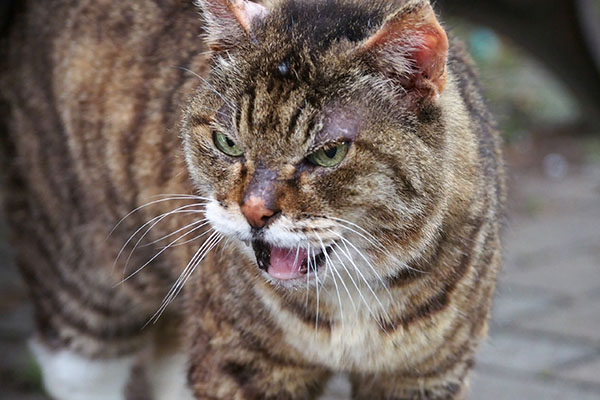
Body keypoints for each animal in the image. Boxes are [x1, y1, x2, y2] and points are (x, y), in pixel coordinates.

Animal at [0, 0, 506, 398]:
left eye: (329, 153)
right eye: (227, 143)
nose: (253, 211)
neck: (353, 300)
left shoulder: (426, 375)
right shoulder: (239, 362)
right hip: (82, 290)